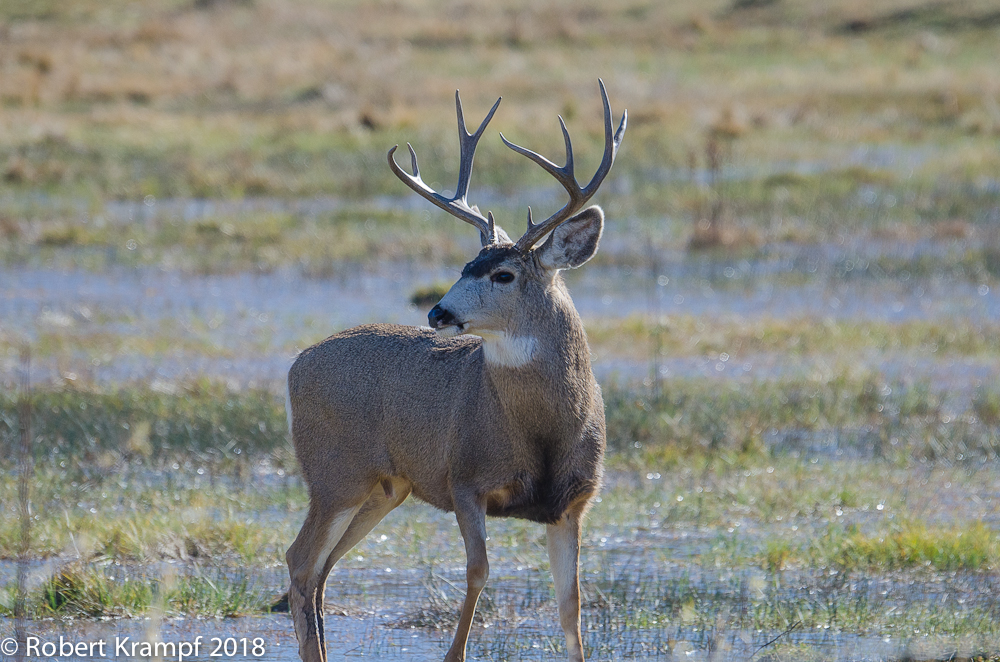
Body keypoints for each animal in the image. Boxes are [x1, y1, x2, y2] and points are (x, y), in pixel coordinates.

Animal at [282, 81, 624, 662]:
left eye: (503, 273)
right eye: (466, 266)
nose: (437, 313)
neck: (541, 434)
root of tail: (295, 365)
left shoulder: (573, 503)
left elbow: (570, 606)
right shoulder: (464, 477)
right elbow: (478, 572)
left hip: (385, 487)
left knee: (323, 569)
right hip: (335, 472)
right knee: (301, 562)